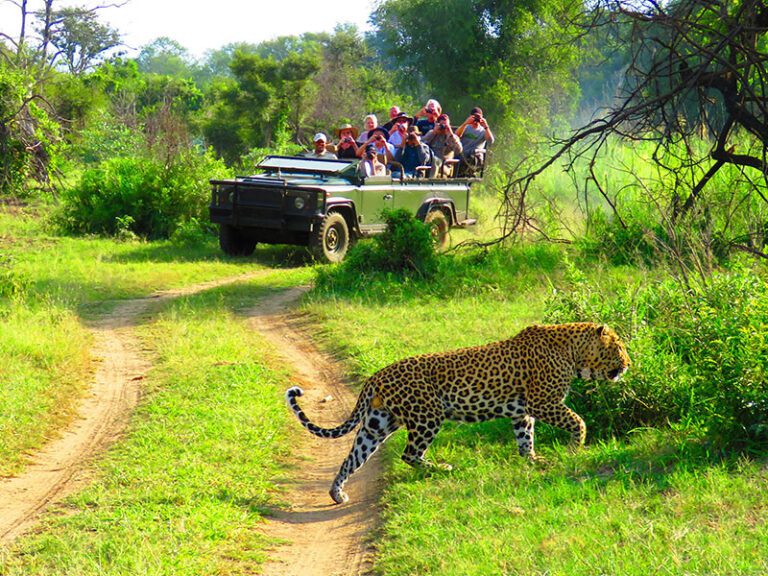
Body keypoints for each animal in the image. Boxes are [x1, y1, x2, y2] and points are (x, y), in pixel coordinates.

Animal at [285, 322, 631, 504]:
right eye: (619, 348)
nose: (628, 364)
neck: (573, 352)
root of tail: (376, 376)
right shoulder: (543, 401)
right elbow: (578, 421)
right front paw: (575, 448)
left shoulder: (523, 412)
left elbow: (525, 438)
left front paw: (532, 461)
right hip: (428, 416)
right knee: (410, 454)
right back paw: (441, 469)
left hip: (378, 424)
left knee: (353, 457)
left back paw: (337, 493)